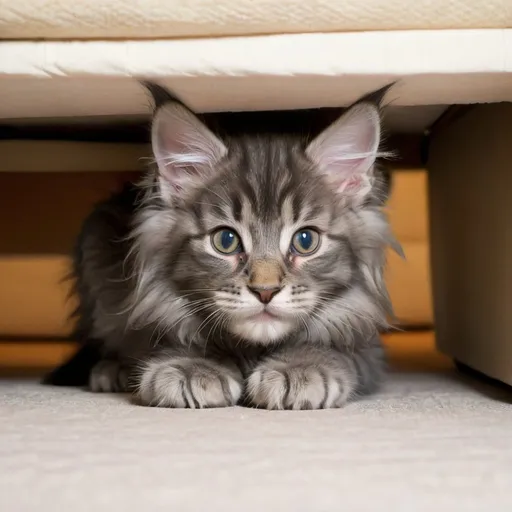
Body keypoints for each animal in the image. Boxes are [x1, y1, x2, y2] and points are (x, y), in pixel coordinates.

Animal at [46, 83, 400, 412]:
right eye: (225, 240)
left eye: (306, 241)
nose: (266, 291)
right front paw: (193, 366)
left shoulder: (365, 345)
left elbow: (333, 347)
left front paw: (301, 367)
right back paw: (112, 370)